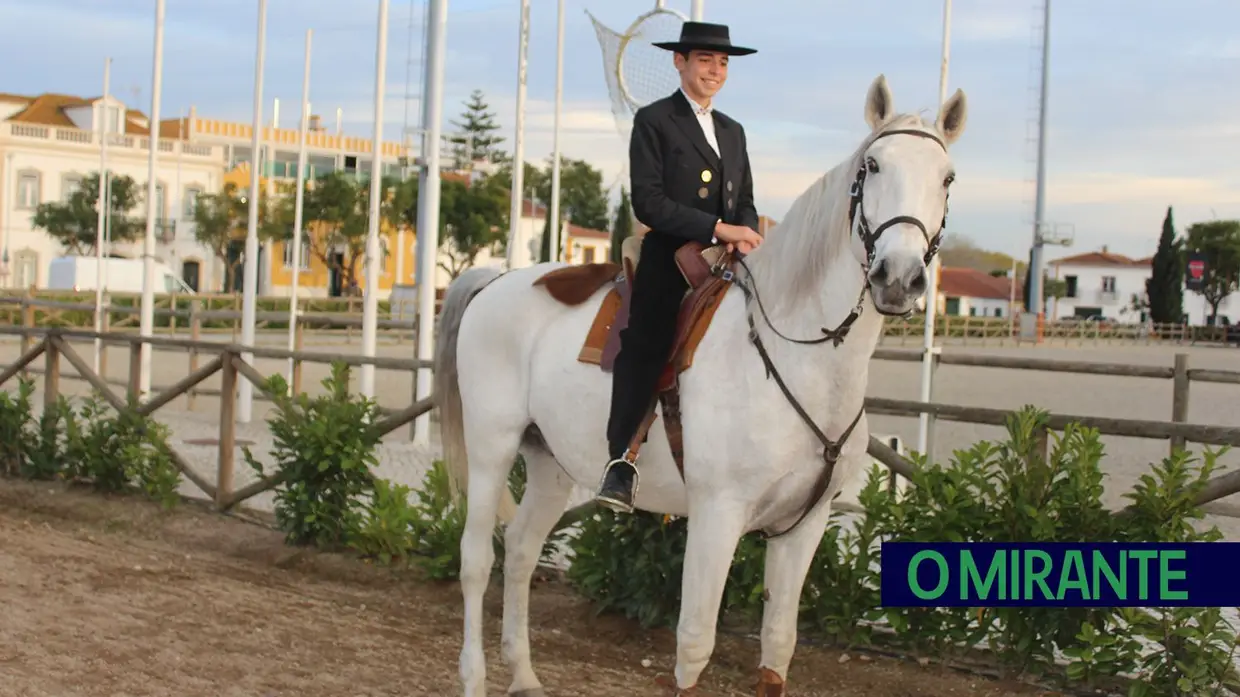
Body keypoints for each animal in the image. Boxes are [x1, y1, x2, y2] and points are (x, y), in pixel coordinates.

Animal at [436, 73, 967, 689]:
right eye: (873, 166)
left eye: (947, 178)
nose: (899, 278)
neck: (793, 355)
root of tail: (494, 282)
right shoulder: (717, 517)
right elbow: (694, 645)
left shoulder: (803, 528)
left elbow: (778, 644)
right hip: (491, 449)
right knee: (477, 559)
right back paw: (474, 678)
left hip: (550, 463)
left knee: (521, 550)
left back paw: (523, 675)